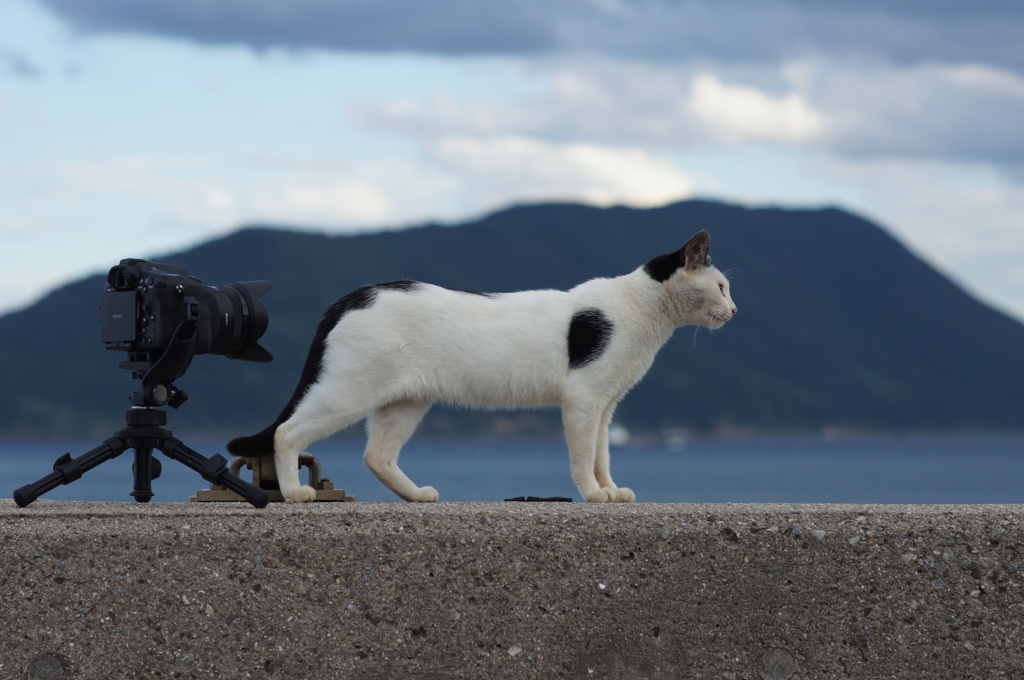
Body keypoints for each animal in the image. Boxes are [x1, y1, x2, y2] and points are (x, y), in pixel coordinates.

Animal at [226, 231, 737, 501]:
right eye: (722, 286)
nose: (735, 311)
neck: (642, 313)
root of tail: (353, 296)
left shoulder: (607, 407)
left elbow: (602, 454)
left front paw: (611, 489)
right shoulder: (584, 401)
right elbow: (582, 458)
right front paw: (593, 494)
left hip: (405, 402)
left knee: (377, 455)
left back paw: (417, 496)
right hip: (346, 392)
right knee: (286, 432)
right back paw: (294, 492)